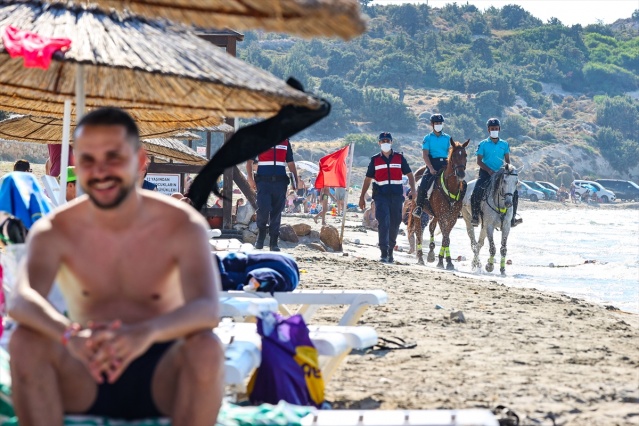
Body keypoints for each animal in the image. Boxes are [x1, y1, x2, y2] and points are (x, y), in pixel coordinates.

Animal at [416, 138, 470, 268]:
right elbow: (445, 237)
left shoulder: (452, 217)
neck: (451, 188)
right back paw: (420, 257)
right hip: (416, 210)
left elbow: (447, 238)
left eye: (465, 155)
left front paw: (448, 261)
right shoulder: (442, 216)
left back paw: (431, 253)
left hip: (435, 214)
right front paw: (442, 261)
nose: (461, 174)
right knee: (418, 230)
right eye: (454, 155)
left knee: (431, 227)